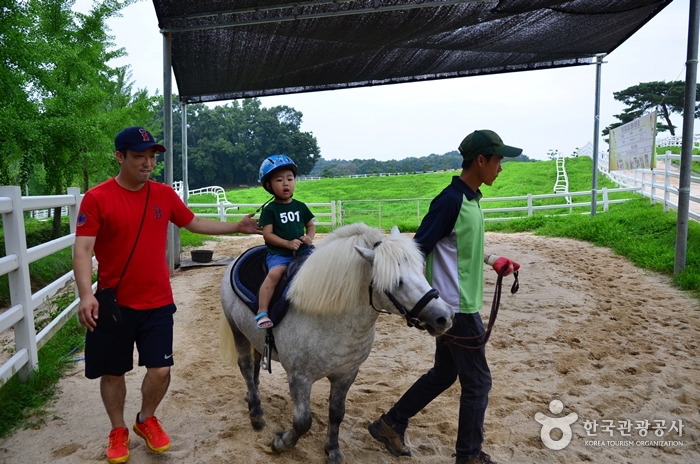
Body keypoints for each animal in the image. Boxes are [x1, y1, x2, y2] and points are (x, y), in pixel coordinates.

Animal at [221, 223, 456, 462]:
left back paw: (253, 397)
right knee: (246, 366)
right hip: (237, 331)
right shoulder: (299, 378)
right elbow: (303, 422)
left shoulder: (346, 374)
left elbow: (337, 414)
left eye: (420, 270)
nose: (444, 317)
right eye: (396, 282)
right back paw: (256, 413)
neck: (328, 317)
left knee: (255, 363)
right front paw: (281, 443)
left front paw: (332, 449)